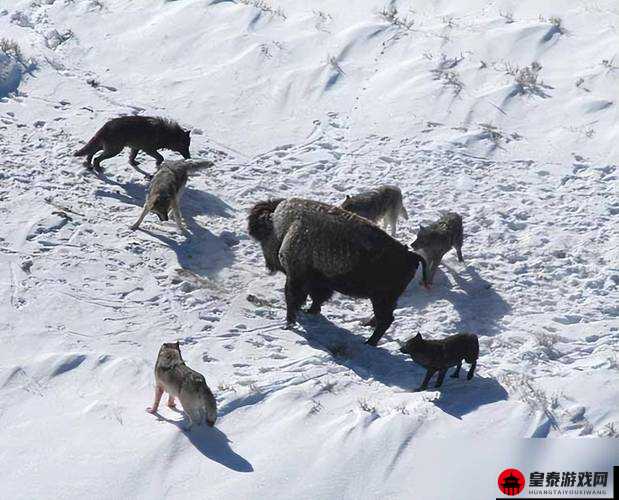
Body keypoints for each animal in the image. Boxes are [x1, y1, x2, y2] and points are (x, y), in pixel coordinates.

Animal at [247, 197, 426, 346]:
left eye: (262, 238)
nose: (268, 265)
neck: (283, 226)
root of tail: (410, 255)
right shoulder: (320, 282)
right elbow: (317, 299)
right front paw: (310, 311)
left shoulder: (296, 278)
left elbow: (293, 299)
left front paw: (289, 323)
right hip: (385, 300)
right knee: (384, 318)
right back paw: (367, 326)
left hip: (381, 299)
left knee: (386, 320)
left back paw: (369, 342)